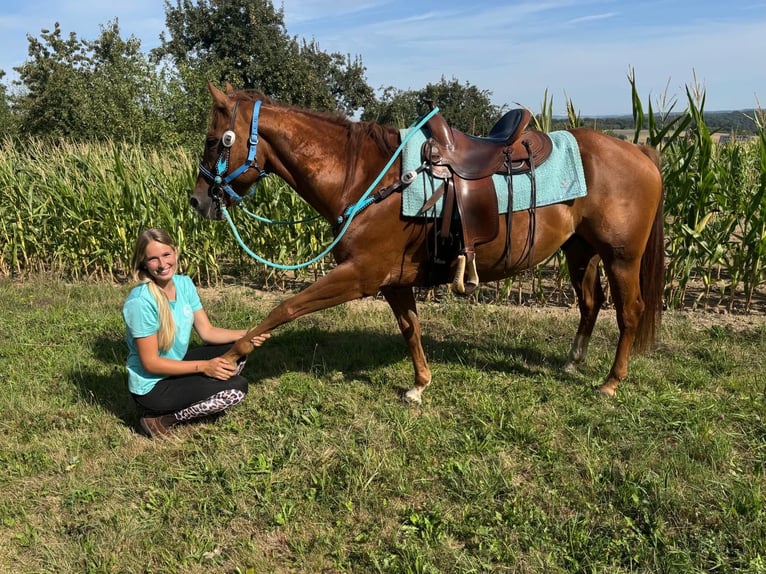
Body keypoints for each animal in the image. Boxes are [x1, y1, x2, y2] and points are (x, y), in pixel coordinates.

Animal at [191, 82, 664, 402]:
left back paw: (610, 382)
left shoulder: (359, 276)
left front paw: (232, 356)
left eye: (214, 141)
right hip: (579, 250)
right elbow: (410, 328)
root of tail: (640, 153)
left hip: (621, 257)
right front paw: (420, 385)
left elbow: (286, 307)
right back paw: (572, 362)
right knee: (590, 303)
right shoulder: (393, 281)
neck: (367, 177)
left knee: (630, 311)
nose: (197, 200)